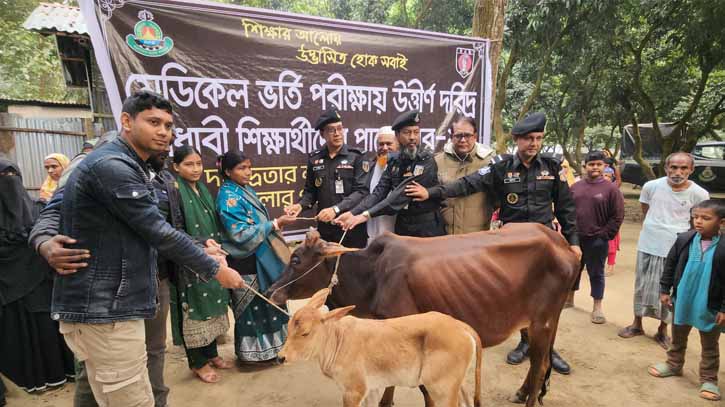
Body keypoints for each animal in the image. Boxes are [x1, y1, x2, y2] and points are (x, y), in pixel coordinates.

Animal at [280, 288, 484, 406]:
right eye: (288, 328)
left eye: (305, 333)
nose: (281, 357)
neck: (338, 340)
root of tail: (461, 326)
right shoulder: (371, 390)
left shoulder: (353, 391)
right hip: (458, 385)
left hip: (441, 389)